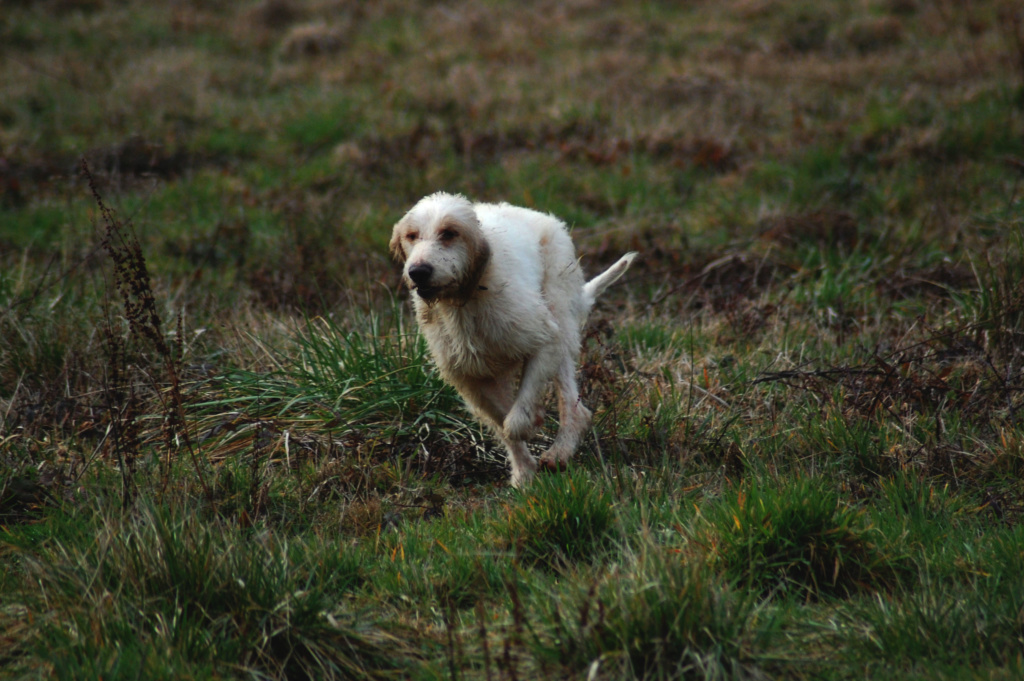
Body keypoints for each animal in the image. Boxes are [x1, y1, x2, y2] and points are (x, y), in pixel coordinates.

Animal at [389, 191, 634, 485]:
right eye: (411, 235)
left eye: (449, 233)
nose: (418, 271)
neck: (466, 299)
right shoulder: (469, 378)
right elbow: (500, 421)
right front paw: (524, 473)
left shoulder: (545, 338)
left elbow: (515, 421)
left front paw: (530, 424)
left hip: (560, 317)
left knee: (576, 409)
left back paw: (559, 452)